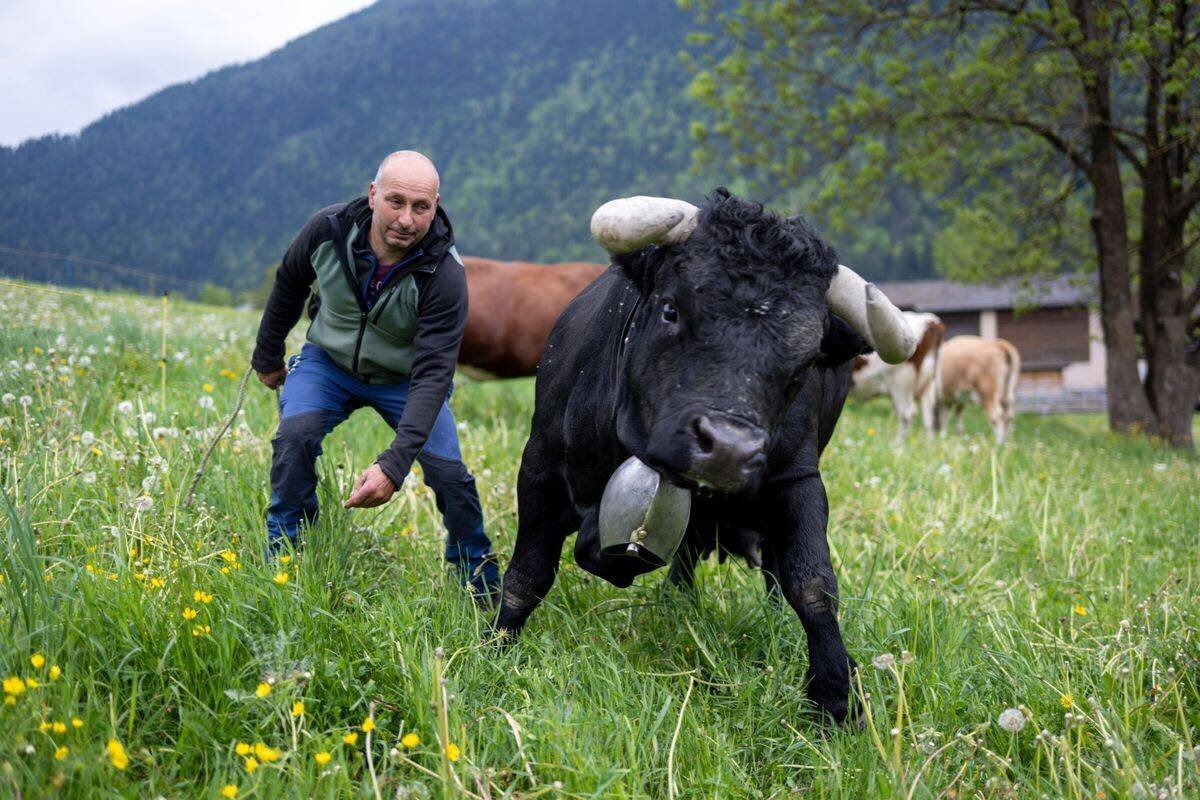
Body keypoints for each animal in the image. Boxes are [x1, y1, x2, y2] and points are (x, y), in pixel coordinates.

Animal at [493, 190, 917, 724]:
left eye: (804, 363)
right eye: (671, 310)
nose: (729, 449)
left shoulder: (797, 481)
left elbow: (812, 585)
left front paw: (836, 699)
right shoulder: (541, 467)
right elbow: (527, 574)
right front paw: (493, 650)